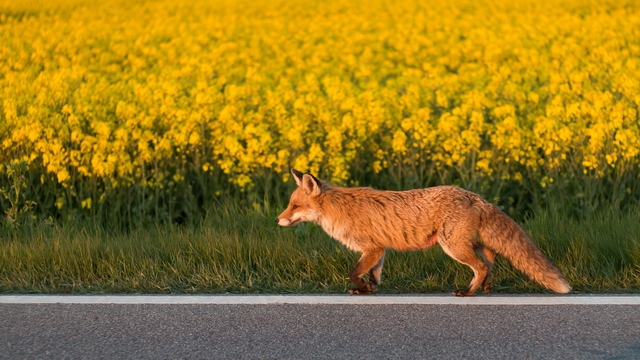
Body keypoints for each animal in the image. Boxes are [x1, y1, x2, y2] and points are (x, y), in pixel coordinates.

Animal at [276, 169, 568, 296]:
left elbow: (354, 272)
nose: (277, 219)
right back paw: (485, 286)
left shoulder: (372, 248)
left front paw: (362, 288)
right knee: (491, 256)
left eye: (295, 206)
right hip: (463, 242)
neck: (338, 208)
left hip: (453, 246)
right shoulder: (380, 250)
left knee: (482, 265)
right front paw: (369, 290)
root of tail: (473, 195)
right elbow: (374, 275)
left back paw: (469, 292)